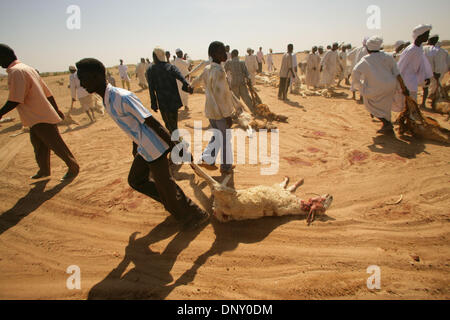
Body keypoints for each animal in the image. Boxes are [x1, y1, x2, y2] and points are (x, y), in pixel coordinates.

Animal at [188, 162, 332, 225]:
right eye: (321, 201)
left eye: (321, 206)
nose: (331, 196)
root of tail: (218, 210)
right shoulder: (283, 190)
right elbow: (289, 186)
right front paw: (297, 180)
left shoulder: (279, 190)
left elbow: (285, 185)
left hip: (222, 192)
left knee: (213, 183)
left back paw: (194, 166)